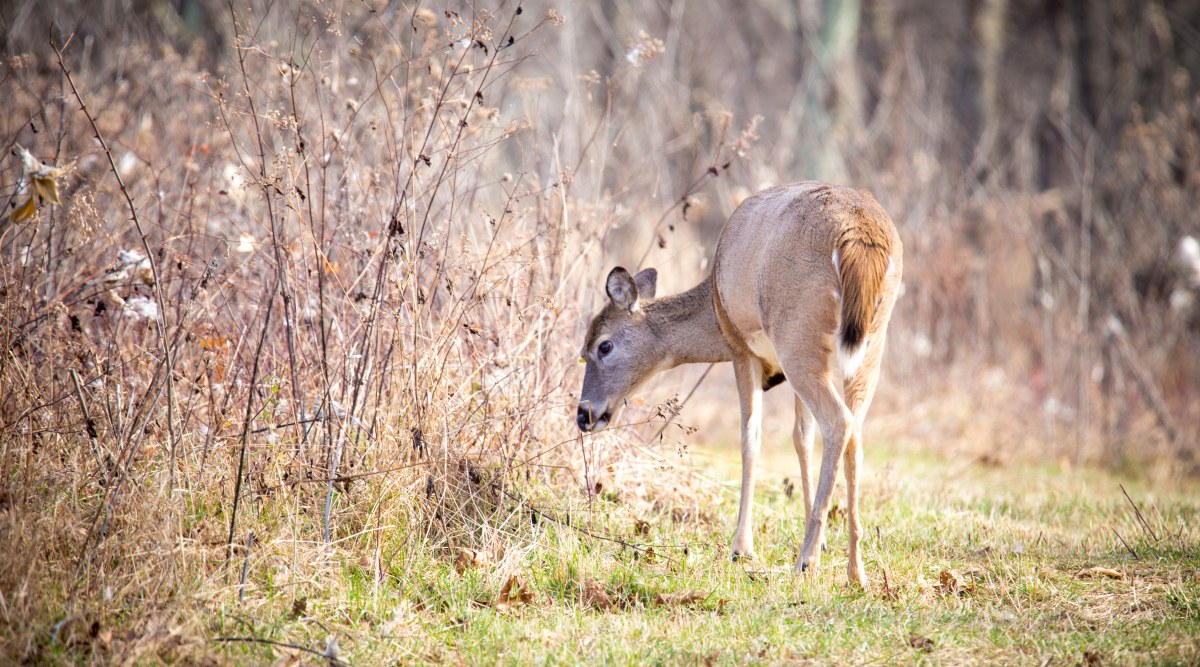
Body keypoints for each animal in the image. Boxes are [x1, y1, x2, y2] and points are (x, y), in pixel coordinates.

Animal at [575, 181, 902, 587]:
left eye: (603, 346)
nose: (584, 415)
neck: (713, 305)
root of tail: (859, 236)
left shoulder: (741, 350)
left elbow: (750, 437)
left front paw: (741, 548)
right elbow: (801, 437)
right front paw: (824, 542)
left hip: (798, 334)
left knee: (838, 422)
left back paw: (806, 560)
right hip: (870, 342)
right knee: (853, 431)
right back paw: (856, 570)